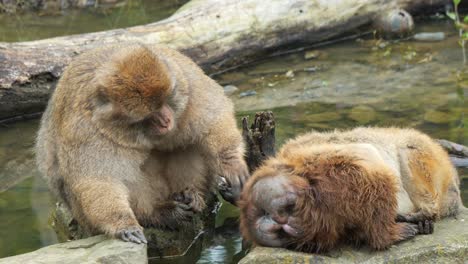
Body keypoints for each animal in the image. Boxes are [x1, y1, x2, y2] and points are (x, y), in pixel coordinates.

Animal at [36, 43, 249, 243]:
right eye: (148, 115)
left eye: (164, 100)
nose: (165, 121)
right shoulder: (87, 129)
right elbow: (99, 179)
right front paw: (123, 224)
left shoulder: (188, 82)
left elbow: (213, 120)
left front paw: (231, 164)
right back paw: (158, 213)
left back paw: (191, 196)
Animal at [239, 127, 462, 252]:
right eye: (278, 230)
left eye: (288, 208)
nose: (283, 222)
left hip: (426, 159)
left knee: (406, 153)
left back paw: (422, 214)